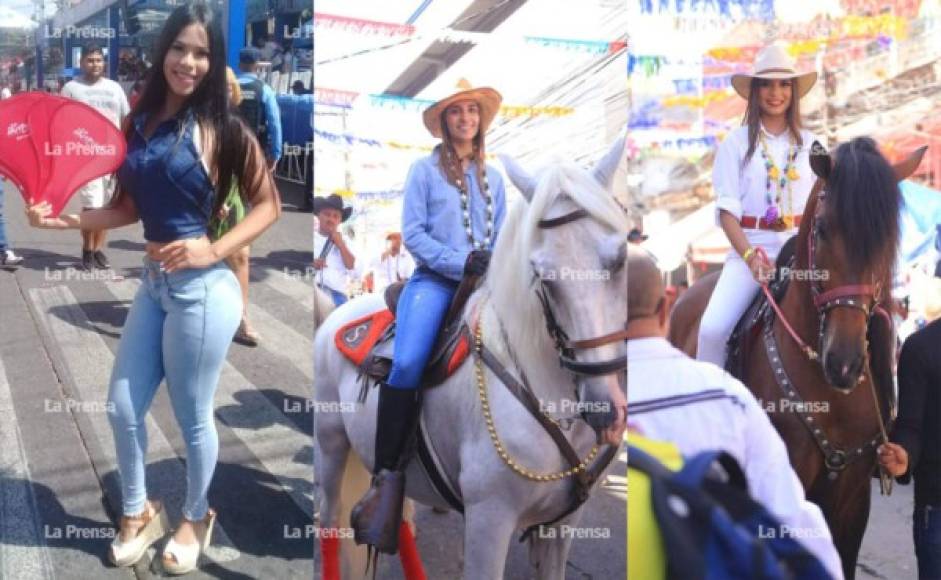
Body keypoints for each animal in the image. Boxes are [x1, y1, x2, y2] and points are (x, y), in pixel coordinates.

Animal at [312, 138, 628, 576]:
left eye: (620, 260)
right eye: (542, 276)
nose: (604, 409)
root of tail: (337, 312)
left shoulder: (562, 526)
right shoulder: (489, 521)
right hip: (330, 443)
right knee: (329, 518)